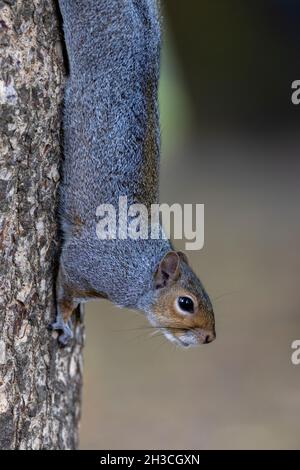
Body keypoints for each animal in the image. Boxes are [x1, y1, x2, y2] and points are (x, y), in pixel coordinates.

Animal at [51, 0, 216, 348]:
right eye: (186, 303)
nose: (210, 337)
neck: (141, 268)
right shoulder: (86, 264)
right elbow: (66, 292)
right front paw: (63, 323)